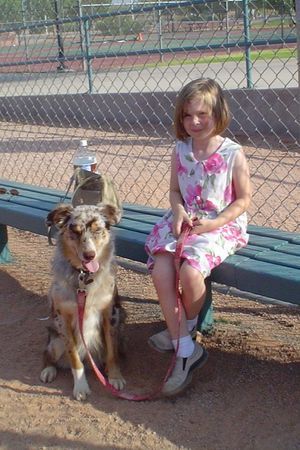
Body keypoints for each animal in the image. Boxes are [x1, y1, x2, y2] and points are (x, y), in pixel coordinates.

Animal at [39, 202, 125, 400]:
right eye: (75, 231)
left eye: (98, 230)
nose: (89, 255)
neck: (84, 278)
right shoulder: (63, 318)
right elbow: (74, 358)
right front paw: (80, 387)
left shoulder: (110, 314)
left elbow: (112, 352)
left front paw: (115, 376)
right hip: (55, 342)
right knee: (47, 353)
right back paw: (48, 370)